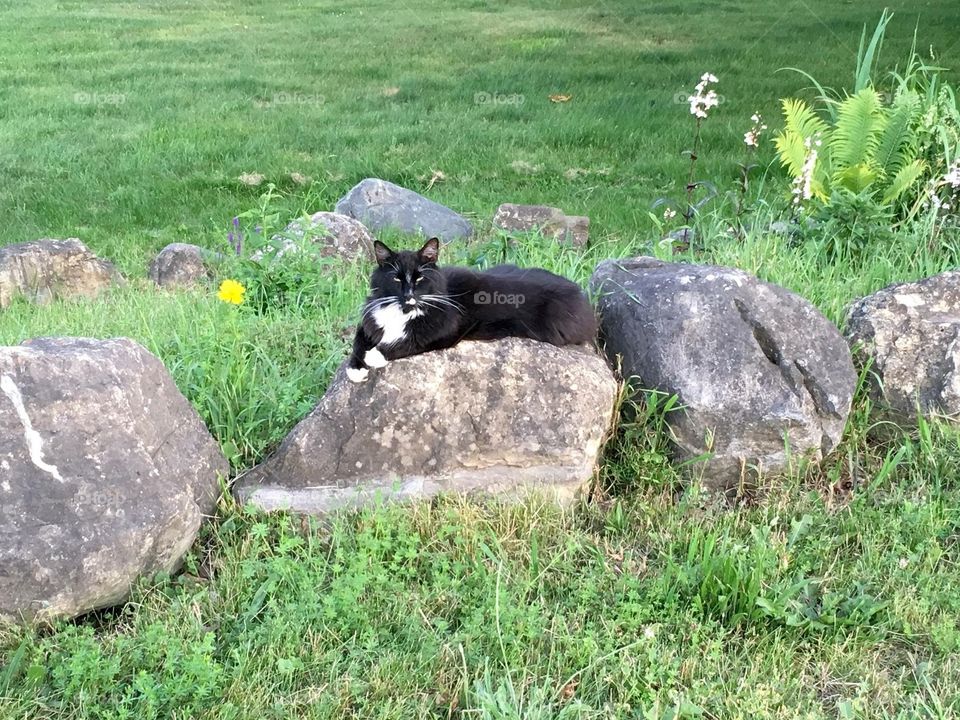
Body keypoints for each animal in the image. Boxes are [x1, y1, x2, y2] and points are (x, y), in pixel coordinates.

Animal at [344, 238, 600, 386]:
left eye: (420, 278)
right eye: (397, 278)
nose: (409, 295)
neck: (403, 311)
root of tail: (581, 293)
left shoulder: (445, 331)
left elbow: (404, 342)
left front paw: (373, 356)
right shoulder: (369, 321)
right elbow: (359, 342)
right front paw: (356, 369)